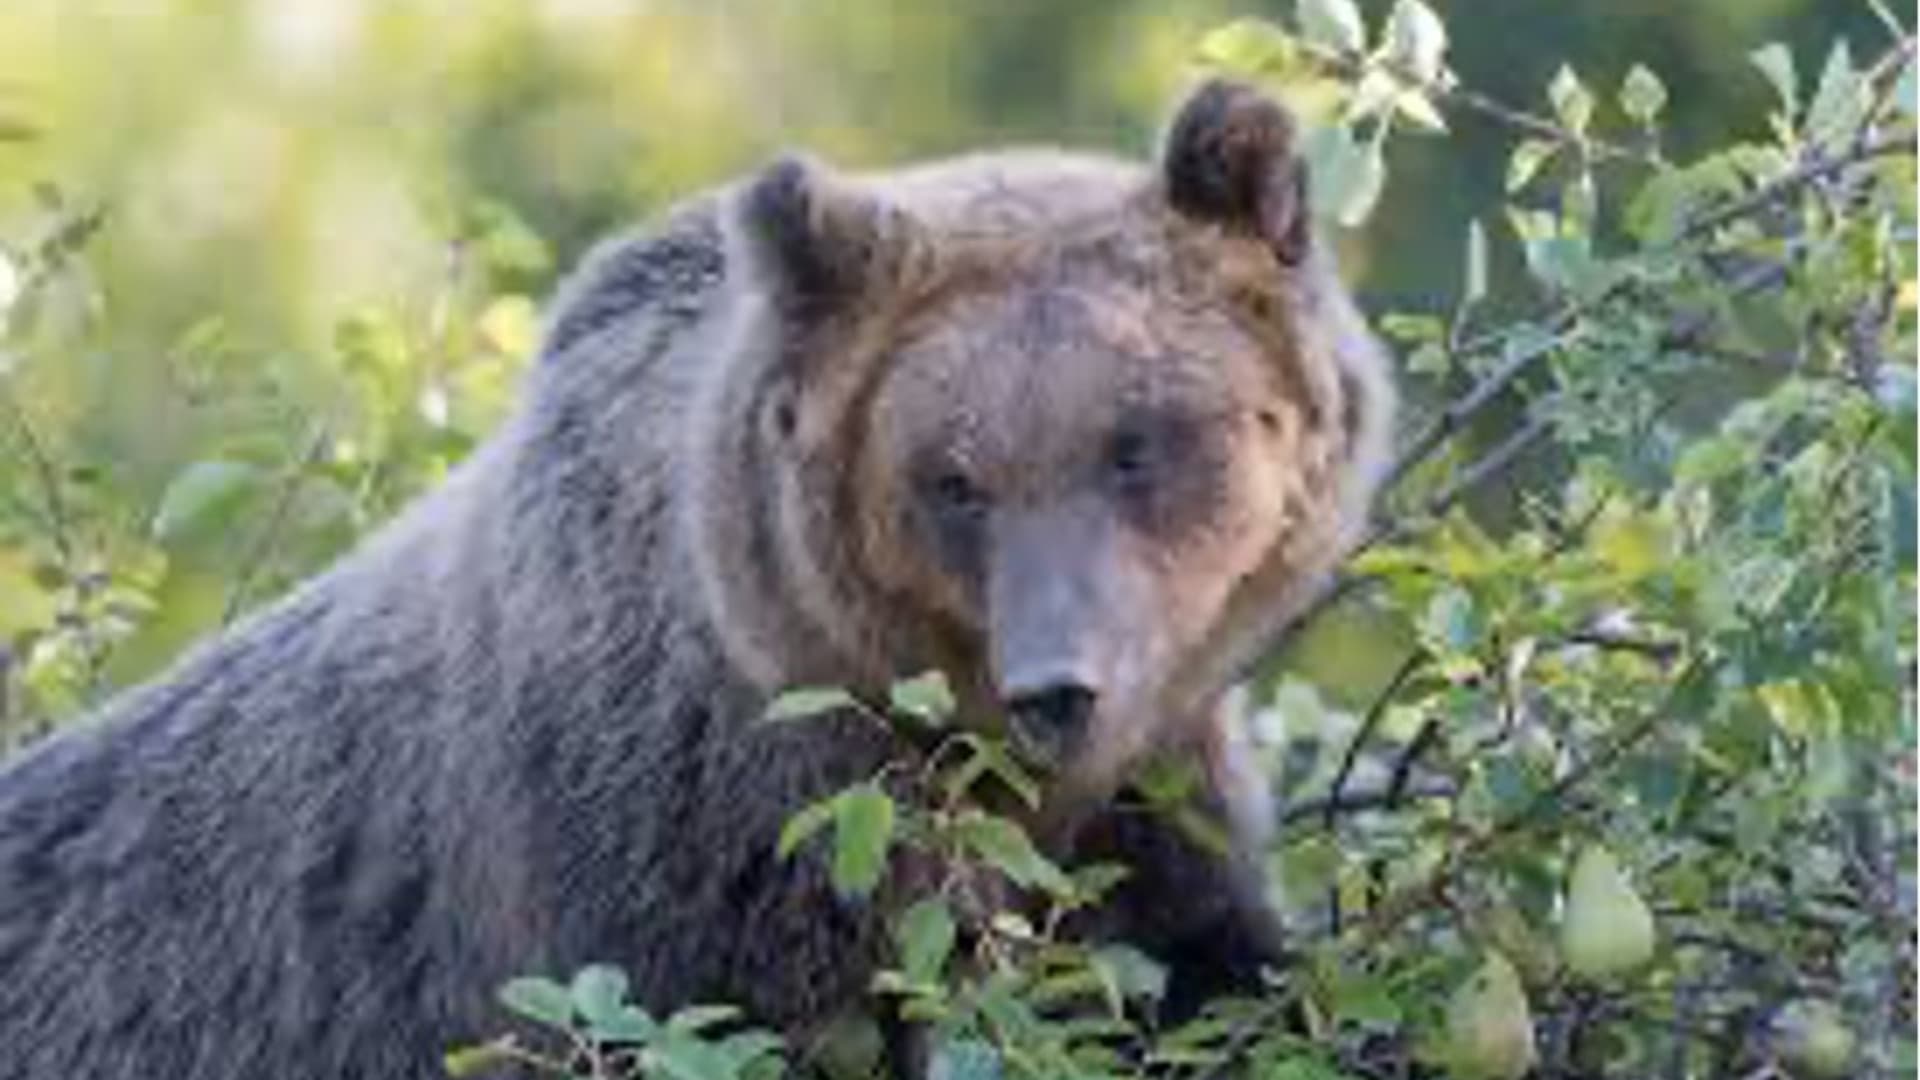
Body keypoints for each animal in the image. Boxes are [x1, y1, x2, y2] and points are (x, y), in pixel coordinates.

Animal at [0, 79, 1394, 1079]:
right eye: (952, 478)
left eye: (1135, 441)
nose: (1061, 685)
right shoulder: (712, 846)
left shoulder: (1147, 793)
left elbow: (1193, 976)